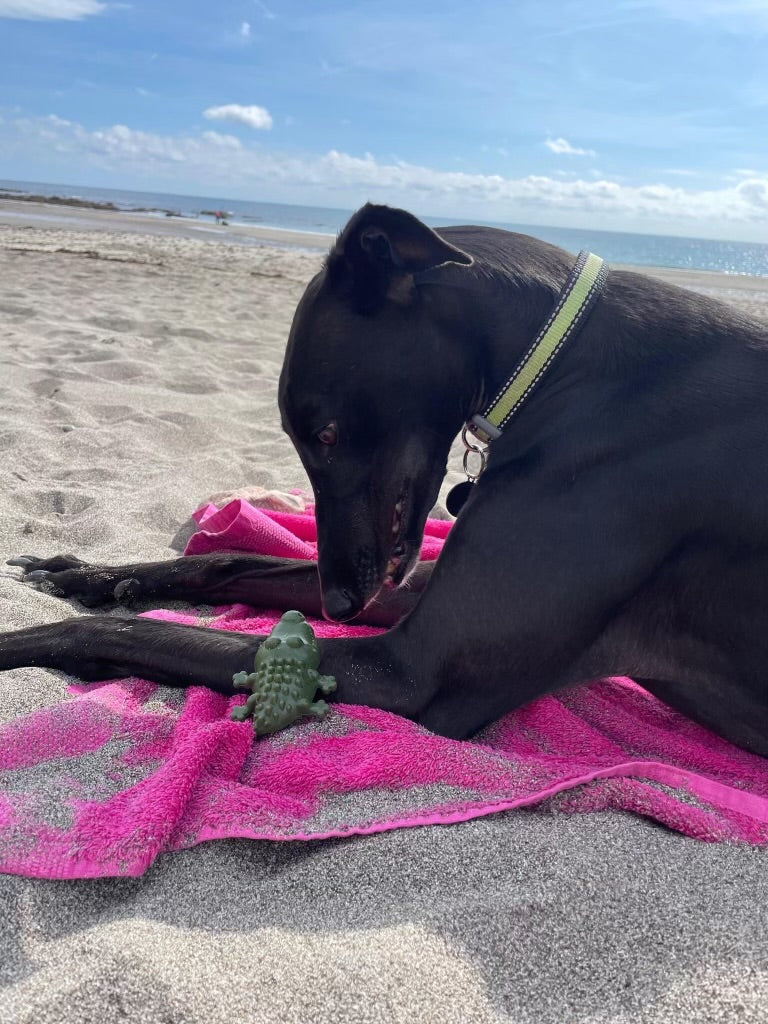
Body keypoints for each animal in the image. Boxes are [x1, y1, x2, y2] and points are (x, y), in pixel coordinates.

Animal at [1, 205, 768, 753]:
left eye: (327, 433)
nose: (338, 604)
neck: (564, 360)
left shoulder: (412, 671)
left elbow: (137, 637)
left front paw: (25, 639)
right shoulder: (409, 587)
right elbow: (228, 559)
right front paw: (91, 575)